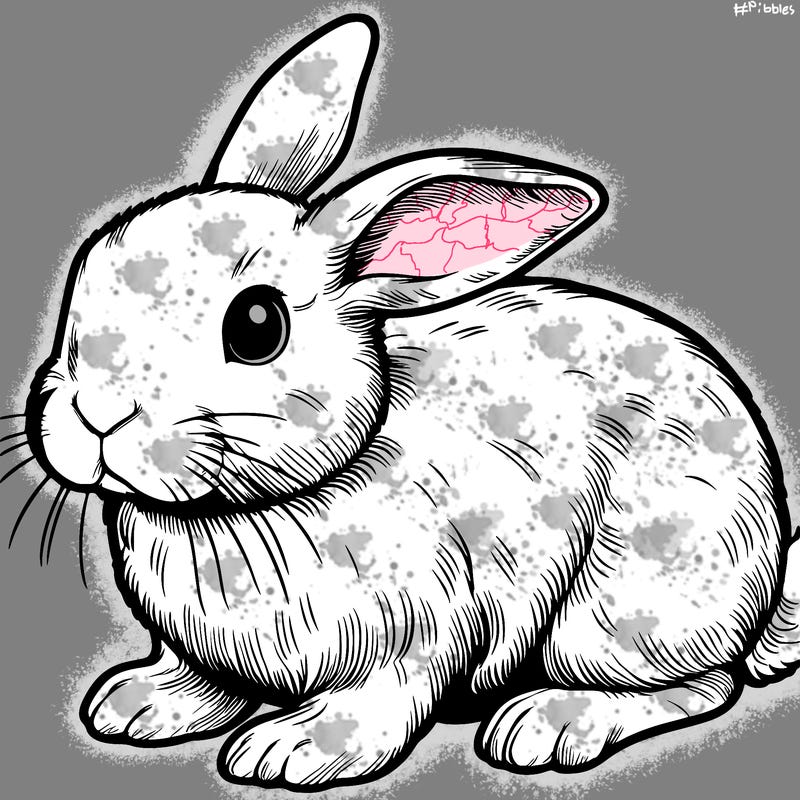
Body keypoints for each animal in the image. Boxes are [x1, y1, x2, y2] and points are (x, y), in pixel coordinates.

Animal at [16, 11, 800, 791]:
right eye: (88, 268)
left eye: (257, 326)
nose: (95, 414)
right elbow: (203, 679)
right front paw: (138, 704)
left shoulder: (422, 631)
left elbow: (380, 703)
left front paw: (294, 750)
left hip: (617, 614)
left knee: (702, 685)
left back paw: (549, 724)